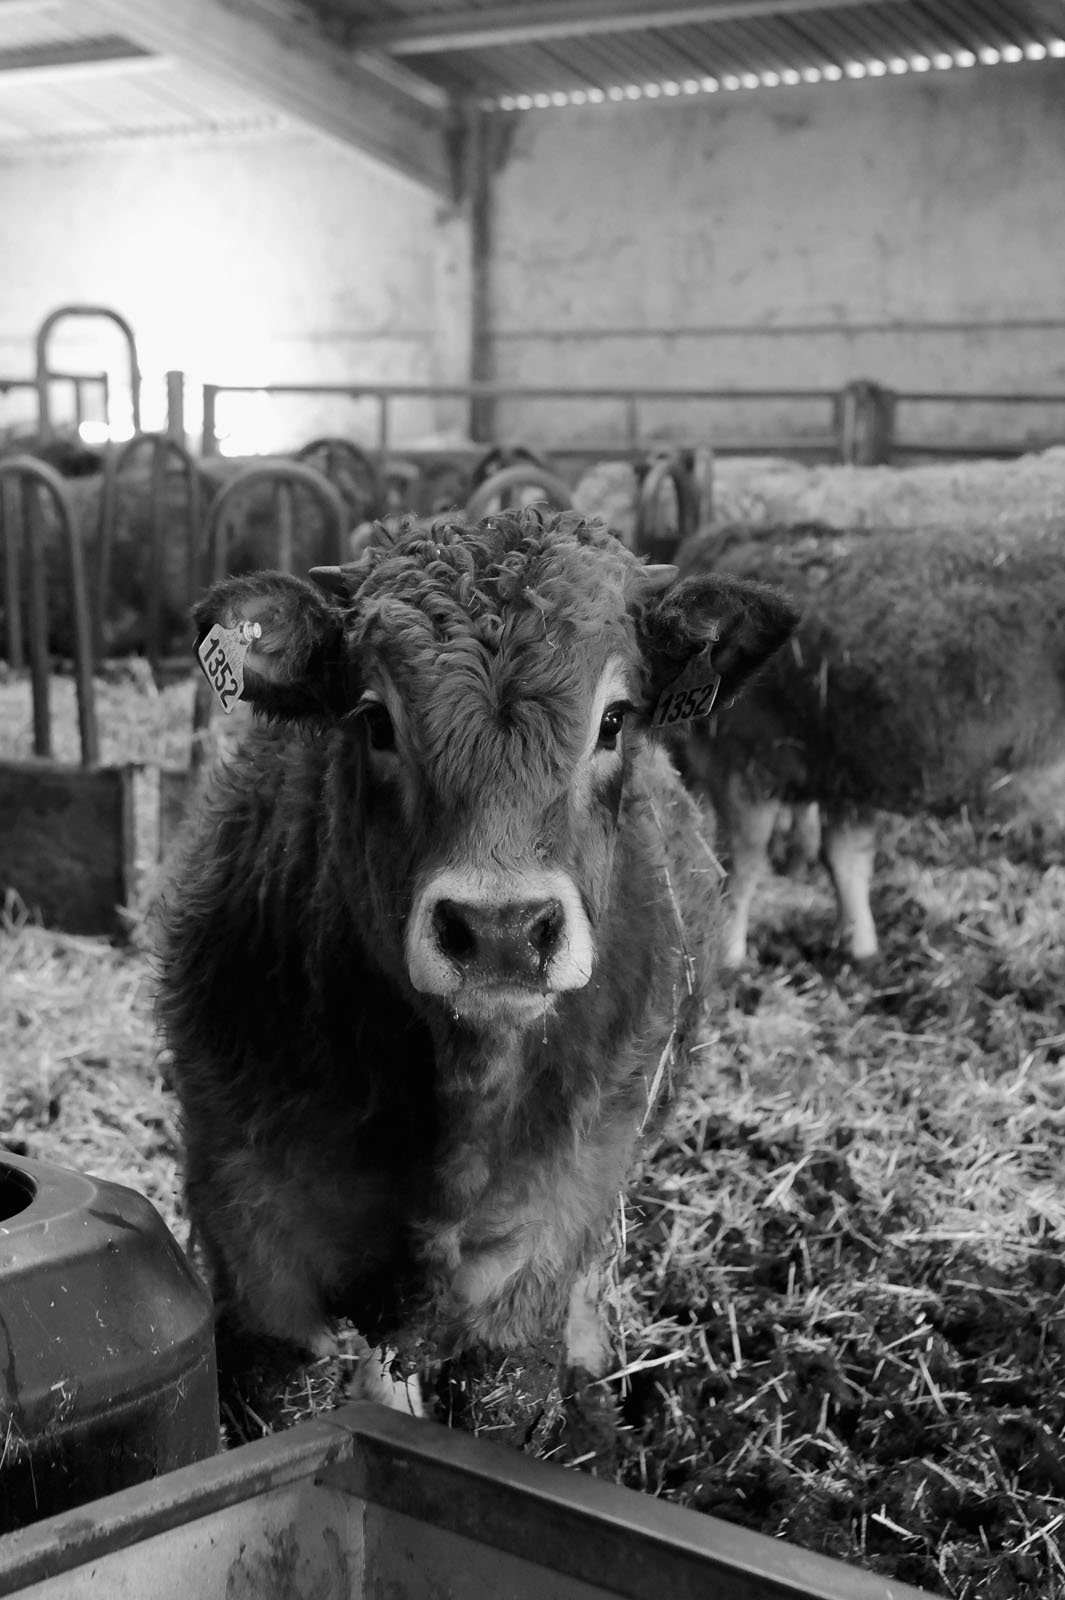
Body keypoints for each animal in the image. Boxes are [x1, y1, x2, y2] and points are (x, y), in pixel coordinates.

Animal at [674, 515, 1061, 960]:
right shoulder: (832, 771)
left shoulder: (751, 765)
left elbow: (748, 867)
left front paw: (730, 960)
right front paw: (860, 951)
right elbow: (838, 861)